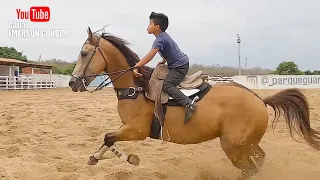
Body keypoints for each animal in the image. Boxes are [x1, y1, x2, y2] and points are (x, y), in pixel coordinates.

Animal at [68, 27, 320, 180]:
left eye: (84, 53)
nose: (72, 82)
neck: (136, 87)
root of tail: (259, 100)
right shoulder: (126, 127)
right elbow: (107, 138)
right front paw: (94, 158)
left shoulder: (136, 130)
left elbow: (109, 137)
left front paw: (130, 158)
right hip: (247, 144)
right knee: (259, 161)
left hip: (234, 147)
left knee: (249, 168)